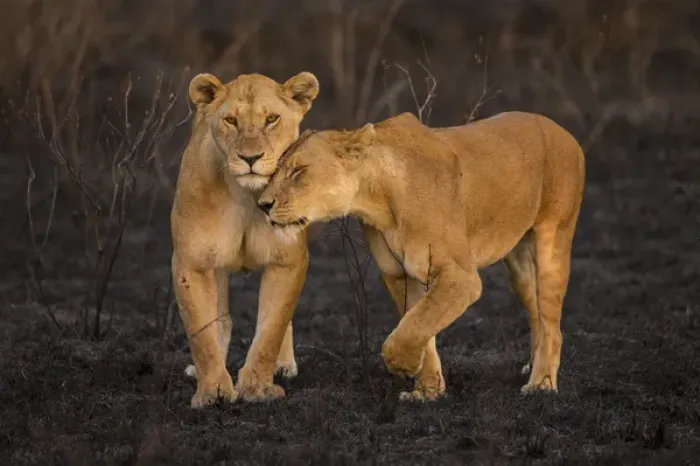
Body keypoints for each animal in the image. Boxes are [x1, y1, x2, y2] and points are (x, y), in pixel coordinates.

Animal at [170, 71, 319, 408]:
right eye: (231, 120)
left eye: (272, 119)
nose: (251, 158)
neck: (247, 196)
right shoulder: (192, 263)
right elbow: (202, 331)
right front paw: (212, 391)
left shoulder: (288, 261)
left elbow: (272, 327)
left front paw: (257, 389)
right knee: (220, 320)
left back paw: (283, 365)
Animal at [257, 111, 585, 401]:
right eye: (275, 171)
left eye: (299, 171)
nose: (263, 204)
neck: (377, 199)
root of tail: (565, 133)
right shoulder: (399, 274)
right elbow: (417, 324)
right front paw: (427, 391)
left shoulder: (460, 276)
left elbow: (415, 325)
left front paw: (403, 365)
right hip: (518, 265)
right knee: (536, 312)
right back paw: (533, 367)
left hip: (553, 240)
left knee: (553, 324)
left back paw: (541, 384)